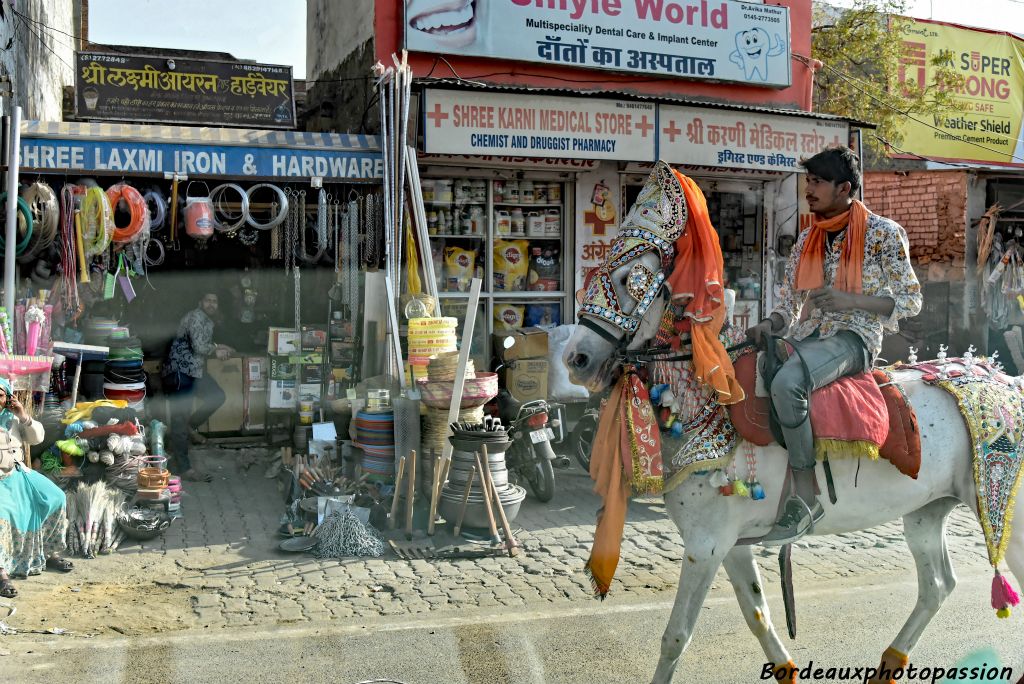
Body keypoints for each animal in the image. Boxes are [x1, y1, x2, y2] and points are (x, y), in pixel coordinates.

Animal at [565, 200, 1019, 679]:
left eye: (627, 278)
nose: (576, 358)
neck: (708, 405)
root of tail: (1004, 379)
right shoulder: (729, 545)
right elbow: (758, 617)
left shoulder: (706, 544)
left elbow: (675, 637)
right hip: (926, 510)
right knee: (937, 584)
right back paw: (889, 662)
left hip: (1002, 505)